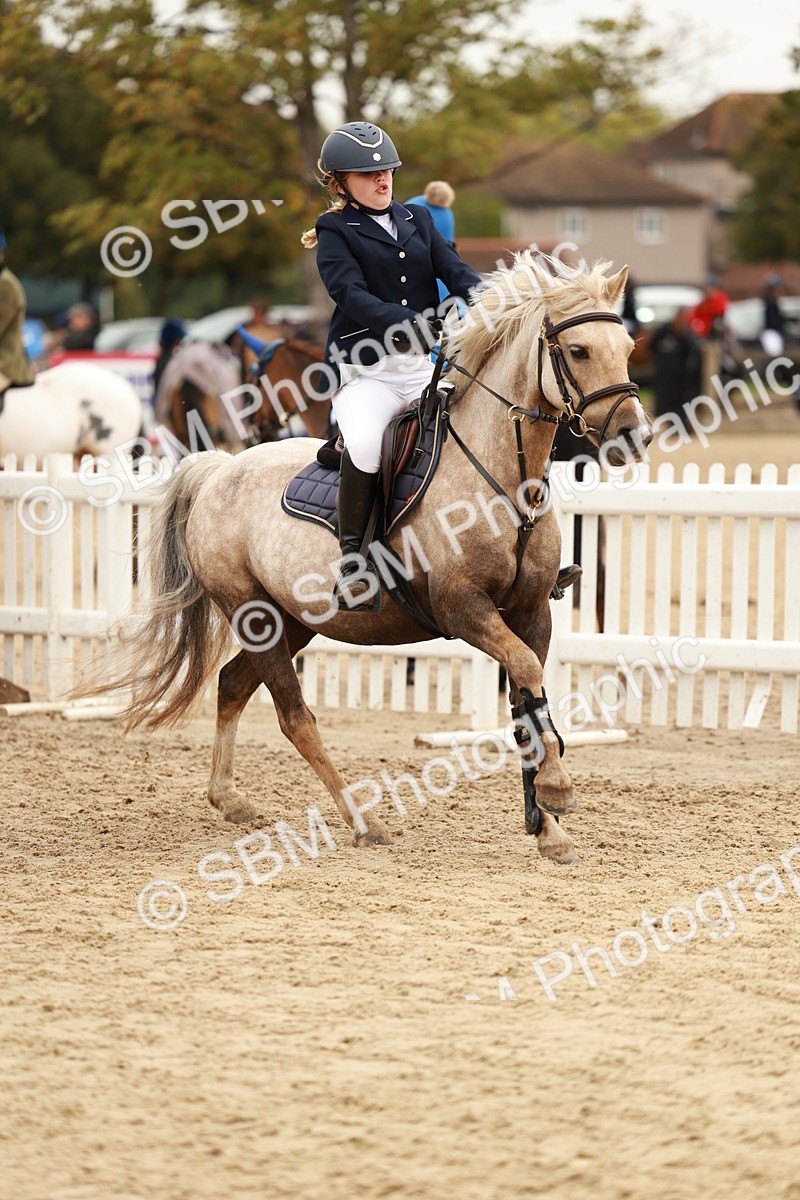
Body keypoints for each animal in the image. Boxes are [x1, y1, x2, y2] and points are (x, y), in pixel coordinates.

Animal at [78, 256, 652, 865]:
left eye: (628, 346)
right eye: (579, 351)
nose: (633, 435)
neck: (504, 478)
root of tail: (221, 469)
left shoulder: (530, 612)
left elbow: (529, 699)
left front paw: (548, 826)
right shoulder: (463, 609)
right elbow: (526, 672)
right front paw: (557, 792)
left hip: (294, 620)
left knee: (233, 683)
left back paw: (229, 799)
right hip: (253, 614)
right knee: (293, 716)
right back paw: (361, 820)